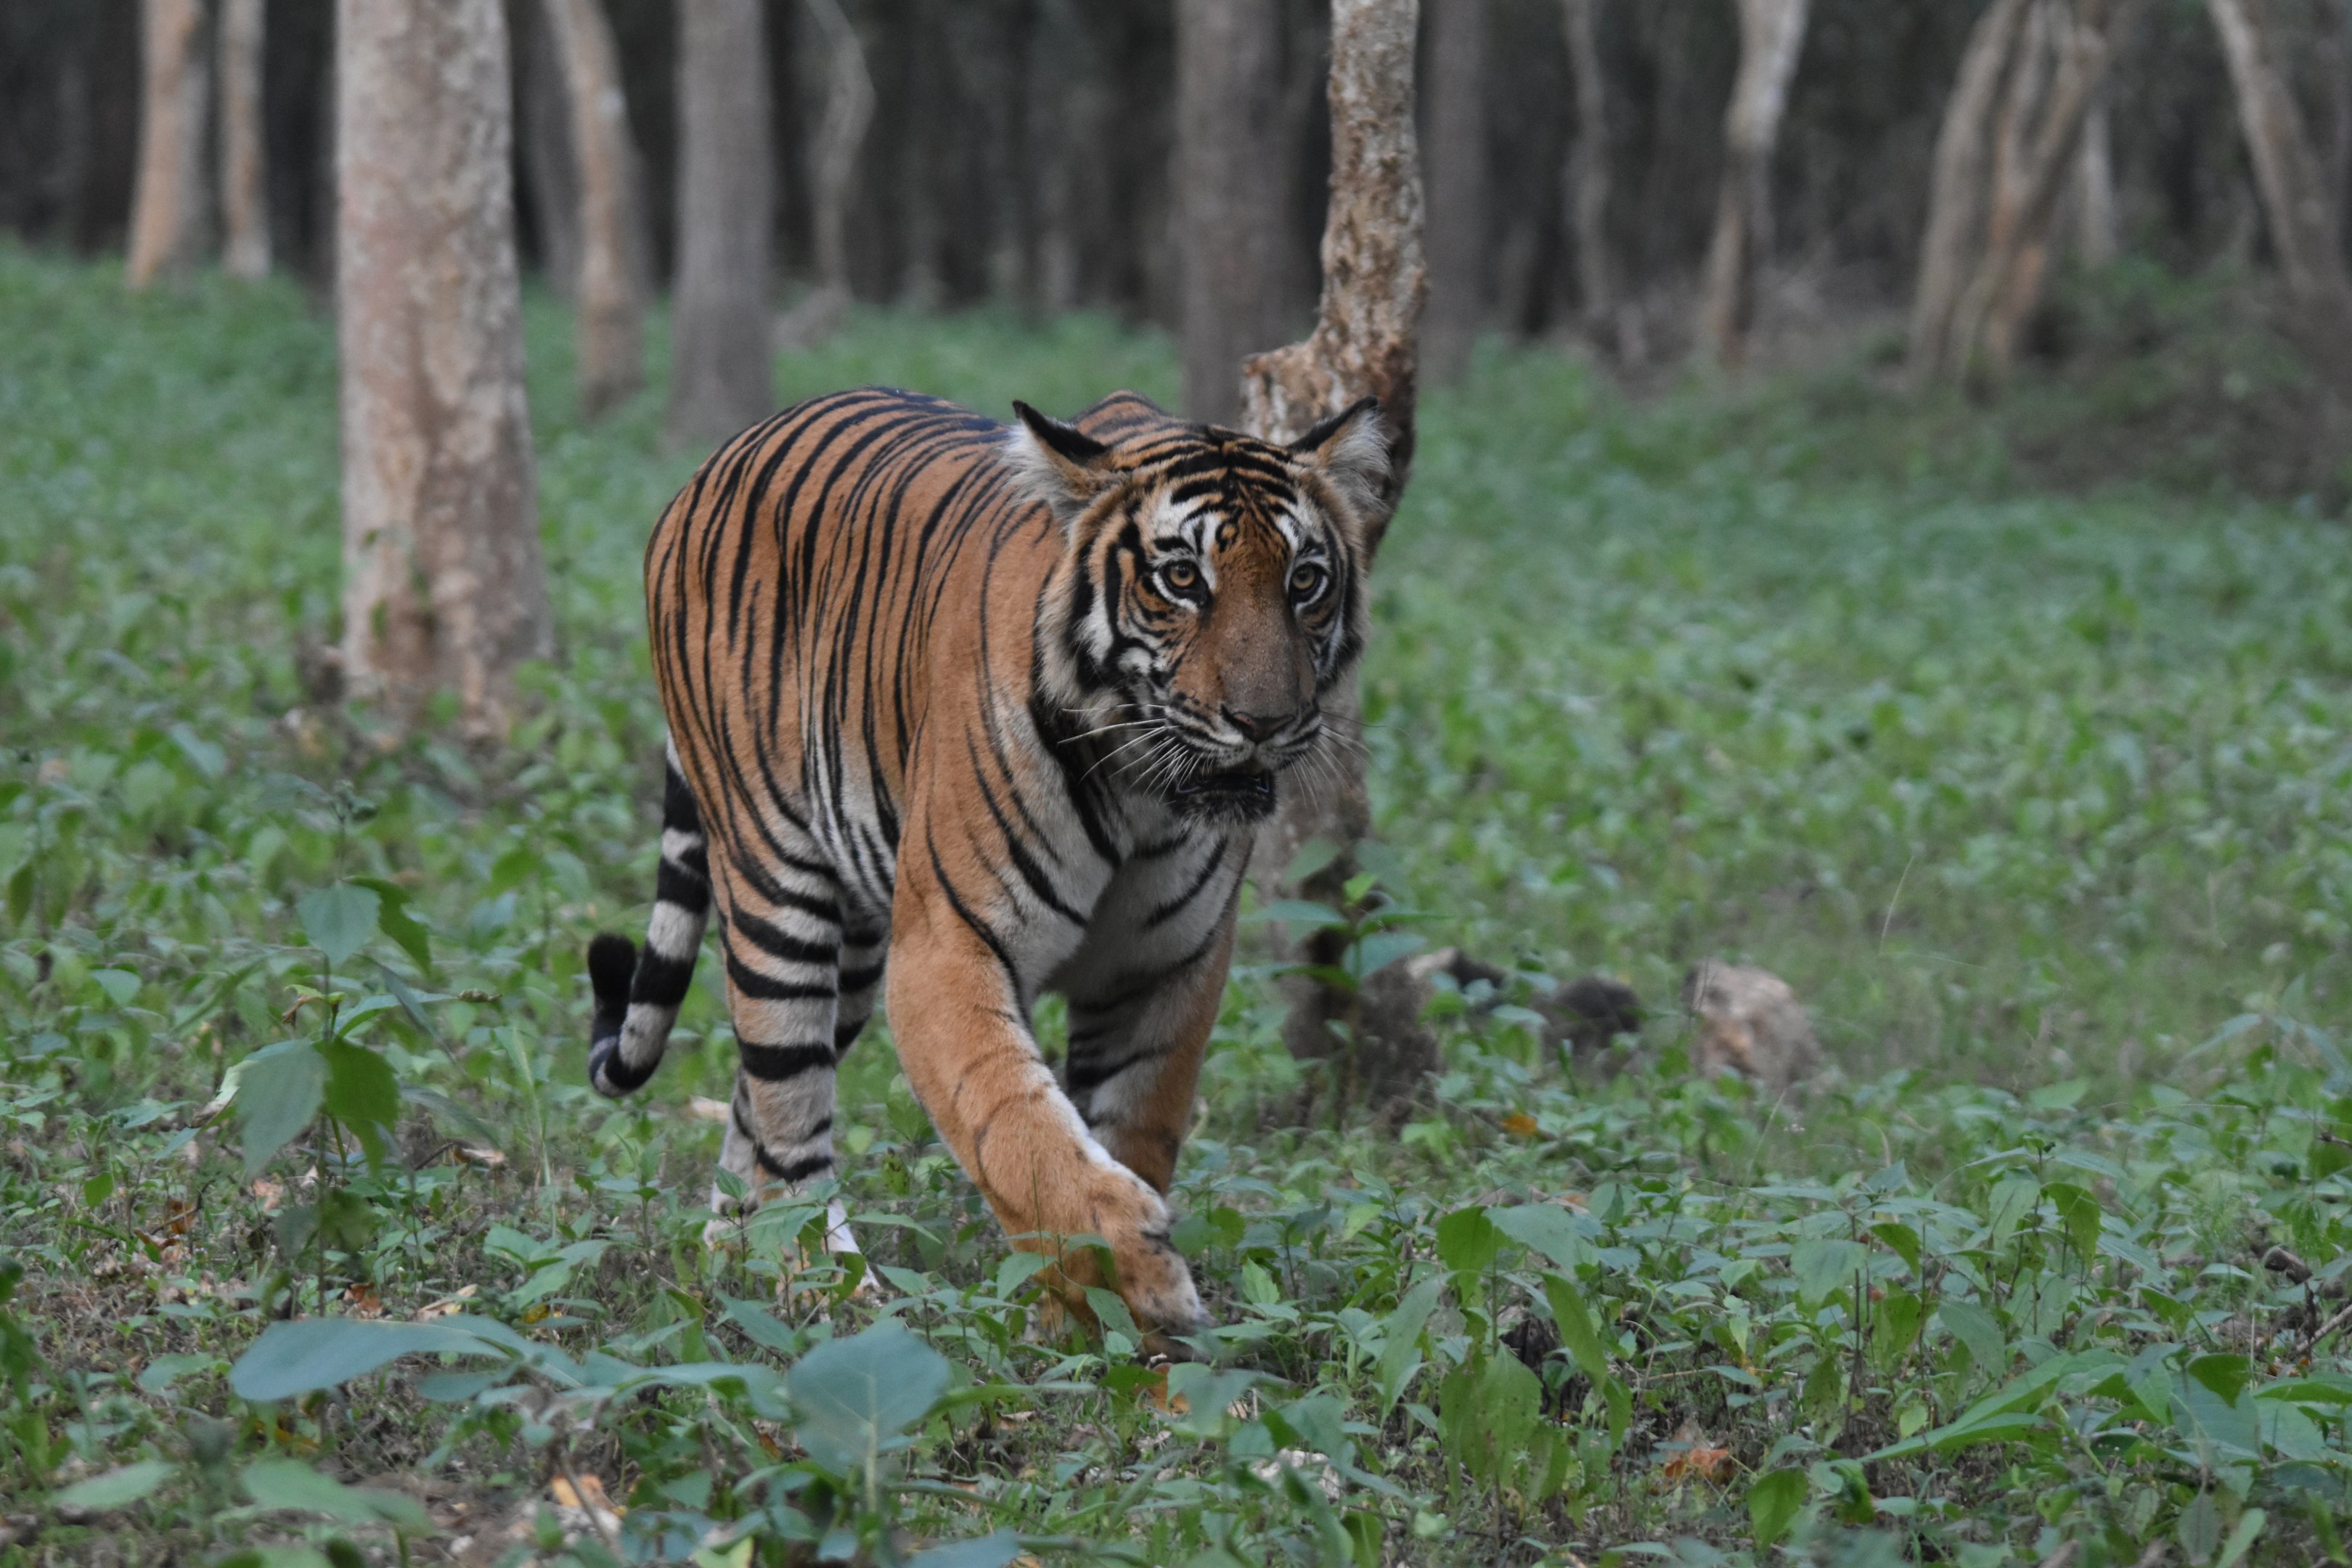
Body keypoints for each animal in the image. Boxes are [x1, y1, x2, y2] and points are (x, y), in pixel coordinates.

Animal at [583, 386, 1387, 1340]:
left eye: (1305, 581)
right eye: (1183, 580)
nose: (1265, 723)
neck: (1144, 791)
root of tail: (714, 464)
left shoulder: (1167, 968)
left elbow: (1130, 1129)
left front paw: (1108, 1335)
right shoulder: (946, 945)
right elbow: (1020, 1128)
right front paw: (1137, 1276)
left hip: (858, 950)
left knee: (752, 1105)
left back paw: (729, 1260)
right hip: (776, 886)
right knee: (787, 1107)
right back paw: (823, 1287)